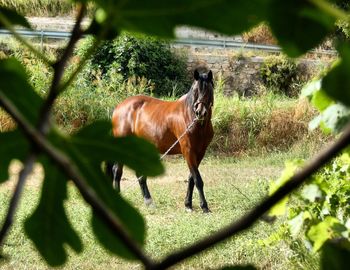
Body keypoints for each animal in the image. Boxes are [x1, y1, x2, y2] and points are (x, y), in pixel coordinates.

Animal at [106, 69, 215, 213]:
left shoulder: (200, 152)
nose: (200, 112)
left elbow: (191, 178)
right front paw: (204, 207)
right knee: (117, 171)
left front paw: (188, 205)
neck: (192, 119)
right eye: (195, 90)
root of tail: (119, 107)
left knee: (139, 175)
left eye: (209, 90)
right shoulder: (188, 151)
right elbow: (198, 179)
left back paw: (149, 201)